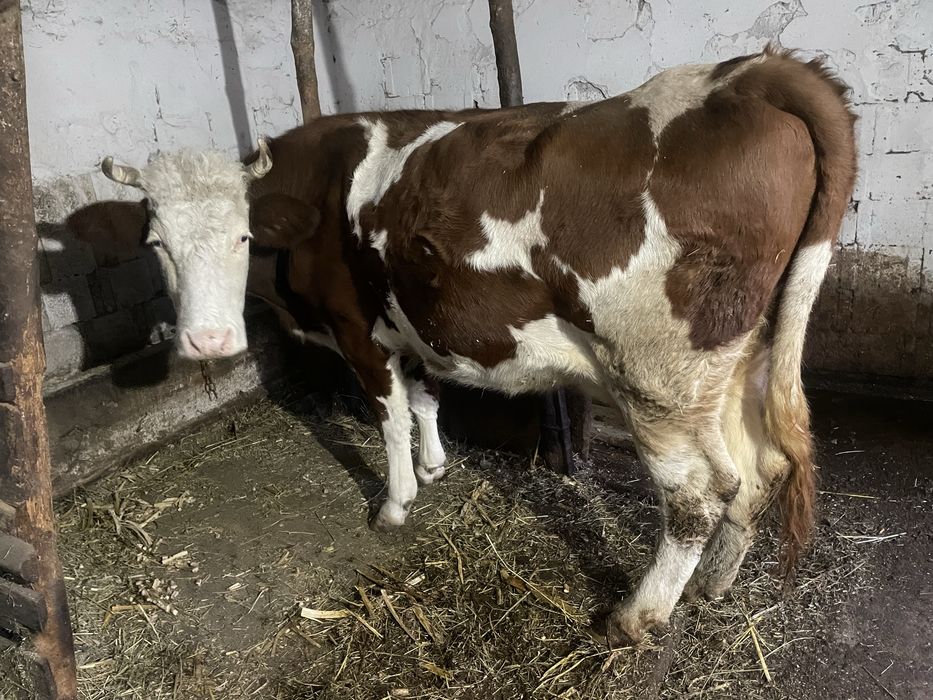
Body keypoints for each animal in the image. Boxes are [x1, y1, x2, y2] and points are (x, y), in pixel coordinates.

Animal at [100, 45, 856, 644]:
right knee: (758, 470)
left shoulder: (357, 330)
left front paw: (396, 501)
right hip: (734, 360)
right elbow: (426, 396)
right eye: (157, 243)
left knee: (699, 494)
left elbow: (389, 416)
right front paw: (435, 466)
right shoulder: (413, 319)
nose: (208, 340)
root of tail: (742, 74)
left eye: (243, 235)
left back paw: (634, 617)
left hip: (656, 378)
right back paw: (713, 584)